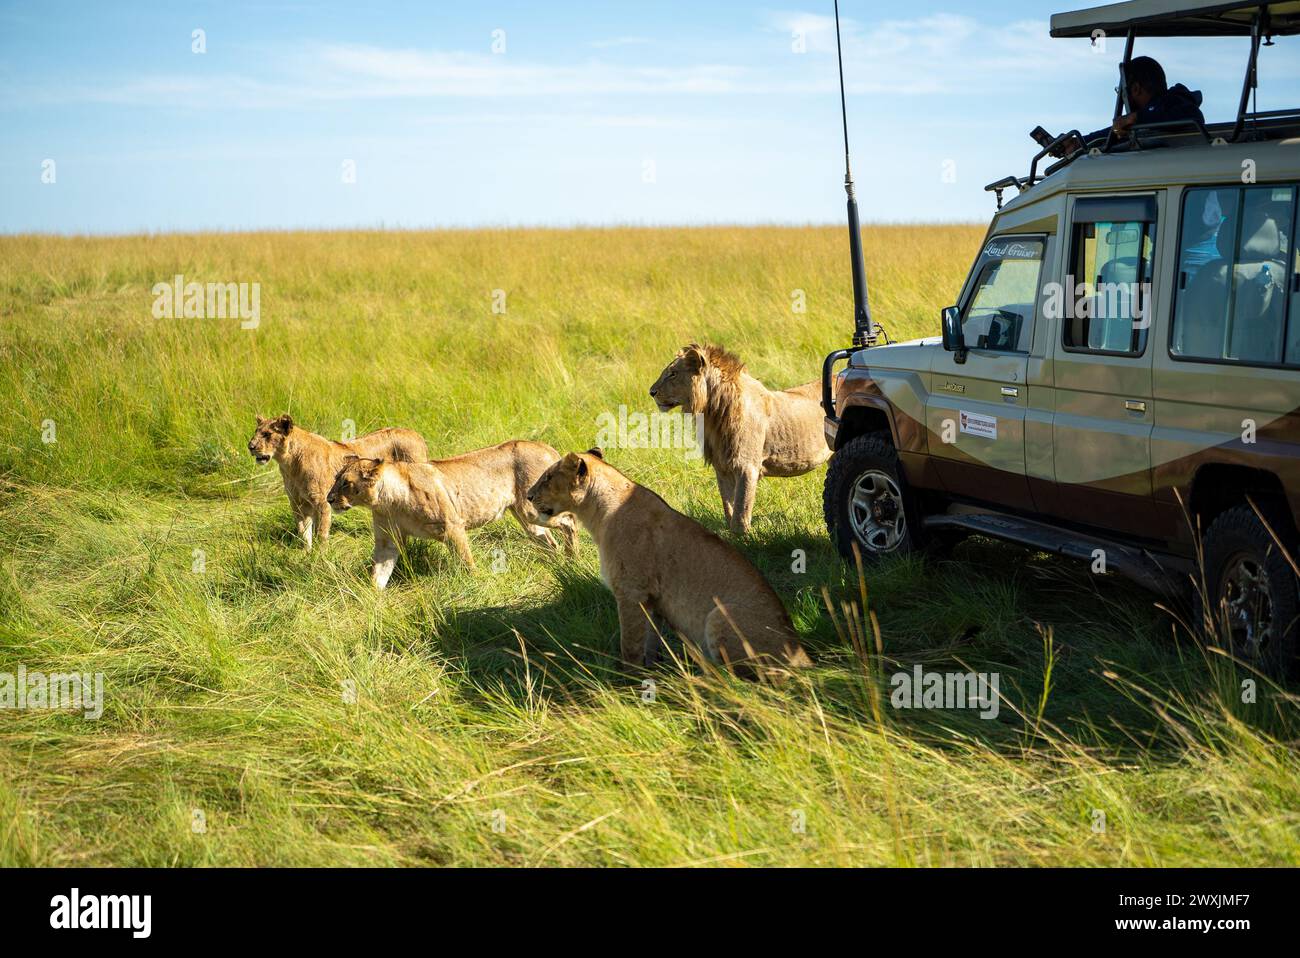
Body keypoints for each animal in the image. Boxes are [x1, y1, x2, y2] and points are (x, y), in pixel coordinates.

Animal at [247, 413, 428, 550]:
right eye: (256, 431)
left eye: (267, 434)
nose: (250, 446)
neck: (288, 464)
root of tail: (416, 434)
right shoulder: (298, 503)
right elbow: (303, 531)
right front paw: (305, 554)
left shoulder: (322, 502)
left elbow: (321, 534)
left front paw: (319, 558)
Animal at [326, 440, 579, 588]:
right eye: (335, 478)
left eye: (346, 483)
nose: (329, 499)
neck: (387, 501)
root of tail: (545, 446)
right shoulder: (387, 540)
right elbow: (379, 572)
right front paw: (372, 600)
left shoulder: (453, 527)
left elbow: (466, 562)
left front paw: (476, 584)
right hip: (527, 517)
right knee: (549, 541)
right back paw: (558, 566)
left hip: (534, 509)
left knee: (570, 521)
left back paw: (573, 558)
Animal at [527, 449, 812, 678]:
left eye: (548, 477)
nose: (528, 496)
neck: (597, 513)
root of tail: (804, 657)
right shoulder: (651, 599)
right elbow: (650, 641)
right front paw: (652, 669)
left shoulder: (630, 592)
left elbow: (630, 644)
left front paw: (628, 682)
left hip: (718, 615)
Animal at [648, 343, 831, 534]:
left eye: (673, 373)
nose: (651, 392)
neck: (713, 413)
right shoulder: (722, 466)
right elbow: (729, 507)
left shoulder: (747, 466)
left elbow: (741, 512)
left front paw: (745, 539)